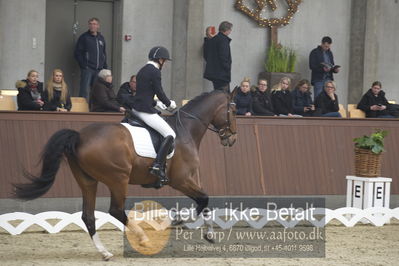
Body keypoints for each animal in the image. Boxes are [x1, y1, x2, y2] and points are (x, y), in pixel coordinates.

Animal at [13, 90, 238, 260]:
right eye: (234, 109)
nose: (232, 138)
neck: (187, 130)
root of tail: (79, 137)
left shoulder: (190, 179)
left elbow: (205, 201)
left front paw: (209, 234)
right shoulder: (180, 180)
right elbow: (203, 199)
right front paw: (178, 221)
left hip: (88, 181)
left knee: (88, 216)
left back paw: (105, 252)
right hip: (118, 179)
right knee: (116, 210)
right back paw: (143, 239)